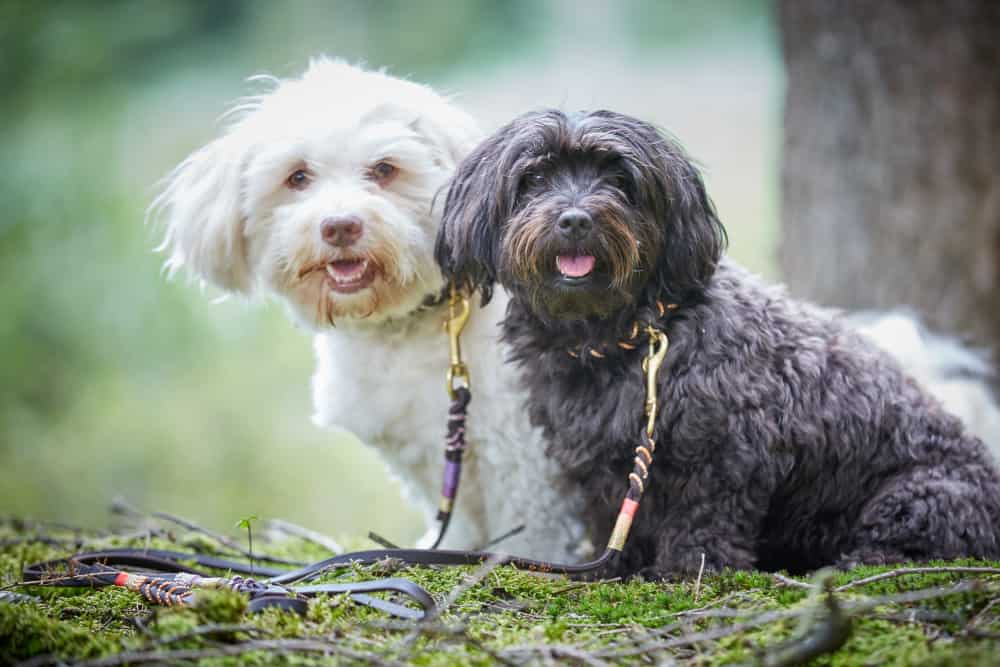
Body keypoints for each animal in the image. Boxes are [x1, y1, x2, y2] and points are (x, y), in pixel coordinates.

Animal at [149, 58, 584, 560]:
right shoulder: (425, 447)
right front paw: (449, 545)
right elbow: (448, 505)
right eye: (298, 177)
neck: (404, 326)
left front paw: (533, 560)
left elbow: (531, 524)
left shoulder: (521, 451)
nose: (340, 226)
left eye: (384, 169)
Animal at [438, 111, 1000, 580]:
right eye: (534, 177)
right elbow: (613, 522)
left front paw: (687, 572)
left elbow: (702, 520)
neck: (628, 338)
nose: (576, 219)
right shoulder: (603, 469)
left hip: (922, 495)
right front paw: (610, 566)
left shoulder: (725, 454)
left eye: (619, 179)